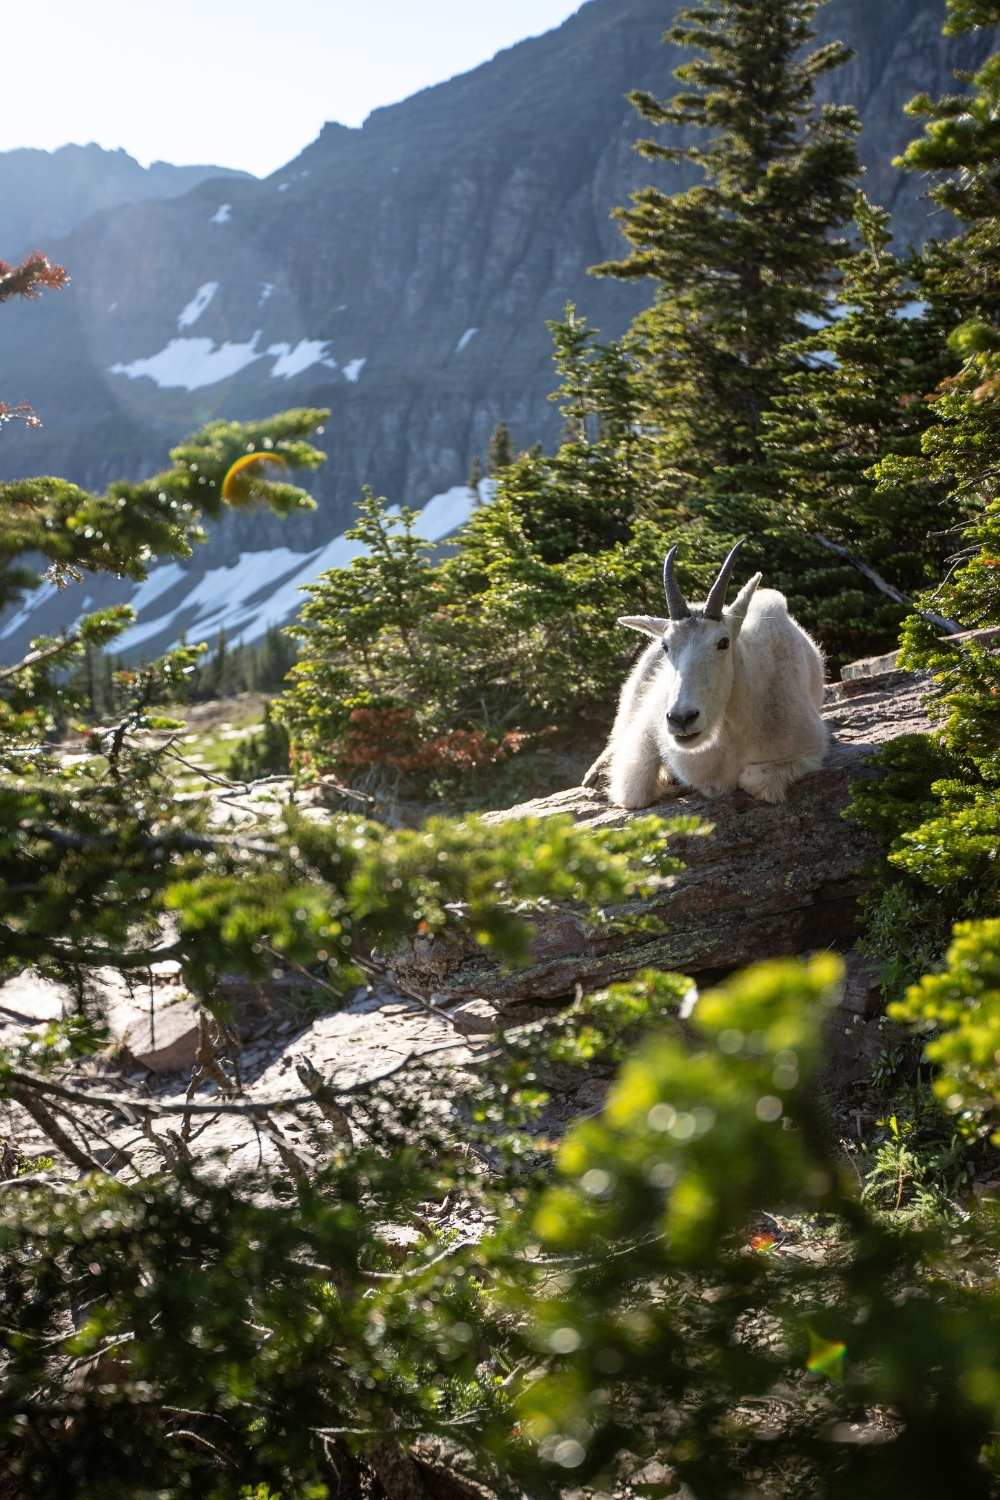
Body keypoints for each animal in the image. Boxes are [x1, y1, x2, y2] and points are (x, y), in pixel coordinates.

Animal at [581, 543, 827, 810]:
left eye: (723, 642)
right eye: (666, 645)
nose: (681, 719)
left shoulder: (811, 750)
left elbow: (752, 779)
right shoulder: (648, 731)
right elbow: (635, 792)